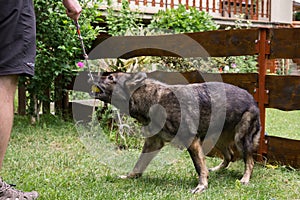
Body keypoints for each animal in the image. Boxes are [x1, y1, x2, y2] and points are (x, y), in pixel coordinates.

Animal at [91, 72, 260, 193]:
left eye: (111, 77)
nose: (90, 75)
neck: (153, 101)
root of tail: (252, 98)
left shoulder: (192, 142)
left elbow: (199, 166)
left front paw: (202, 186)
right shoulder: (152, 143)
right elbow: (139, 165)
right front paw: (130, 177)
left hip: (240, 139)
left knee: (249, 162)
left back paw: (245, 179)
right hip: (218, 139)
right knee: (229, 156)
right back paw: (217, 169)